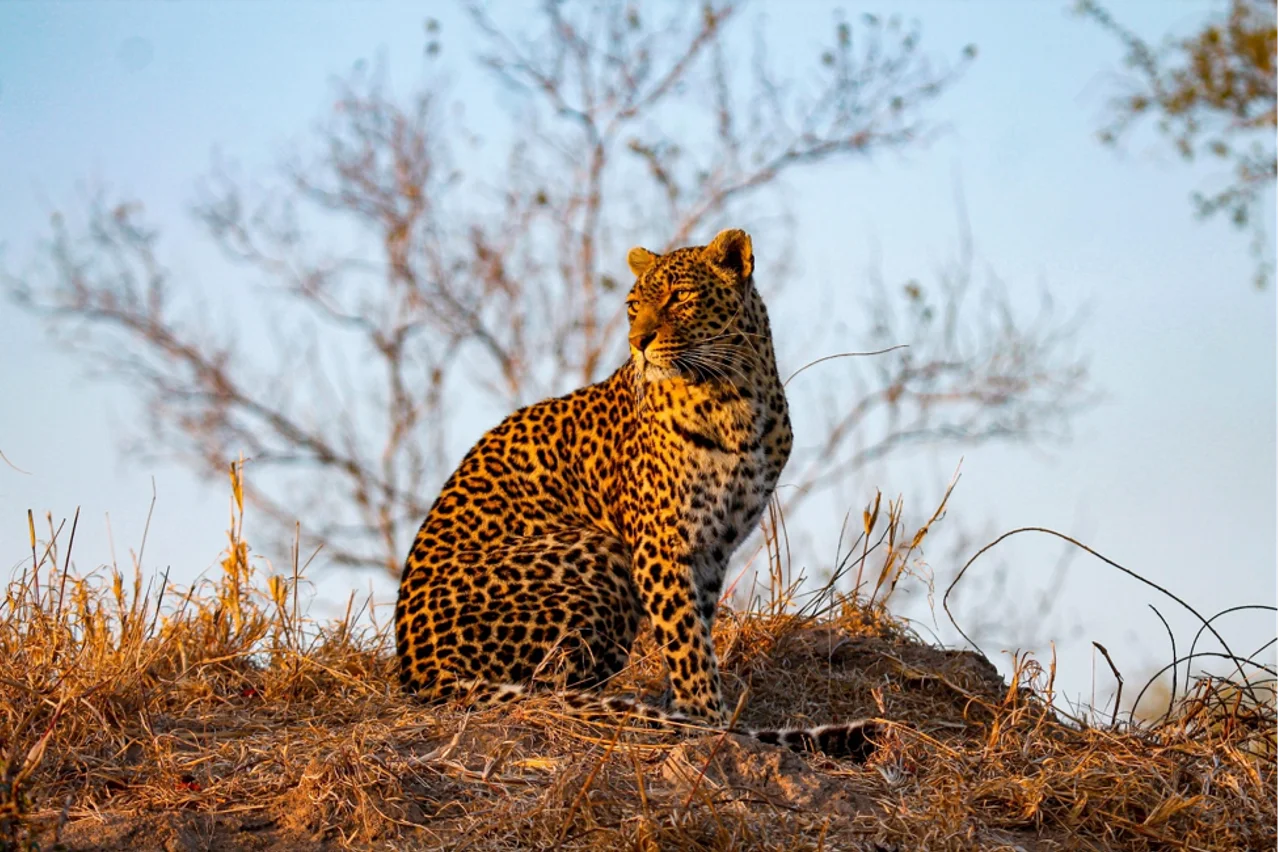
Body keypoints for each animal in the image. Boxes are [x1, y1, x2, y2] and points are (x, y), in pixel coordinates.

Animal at [395, 228, 880, 759]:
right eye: (633, 306)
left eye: (680, 297)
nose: (637, 343)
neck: (734, 396)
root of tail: (418, 670)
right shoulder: (660, 543)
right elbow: (685, 636)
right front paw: (707, 720)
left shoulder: (713, 545)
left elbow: (696, 623)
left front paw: (684, 705)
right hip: (602, 552)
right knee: (551, 686)